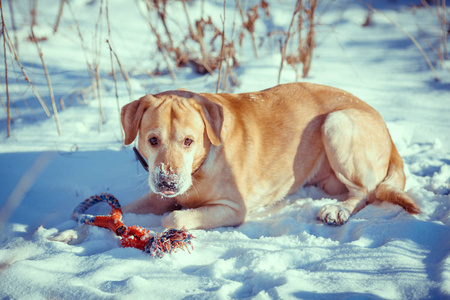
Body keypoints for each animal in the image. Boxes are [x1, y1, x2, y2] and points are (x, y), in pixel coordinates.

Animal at [121, 82, 420, 230]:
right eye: (153, 140)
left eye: (188, 141)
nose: (167, 182)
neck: (199, 168)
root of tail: (386, 129)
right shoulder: (156, 196)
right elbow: (121, 208)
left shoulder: (233, 208)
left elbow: (174, 218)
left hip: (337, 123)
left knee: (365, 192)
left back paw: (338, 210)